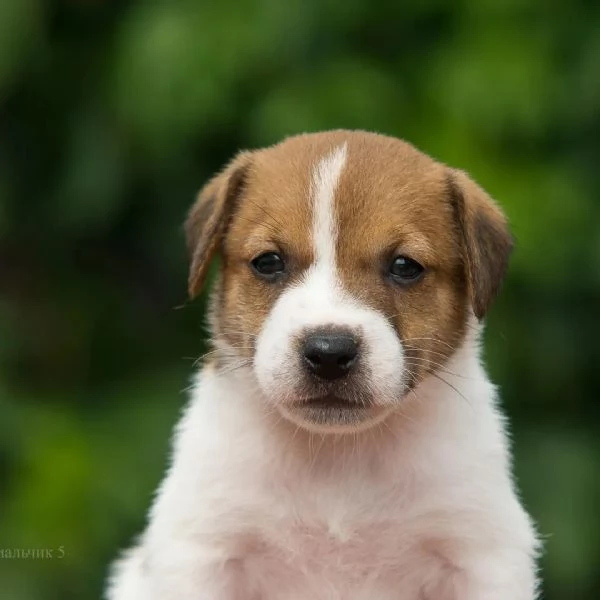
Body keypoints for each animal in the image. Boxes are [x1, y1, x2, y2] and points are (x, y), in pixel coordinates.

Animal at [106, 129, 540, 596]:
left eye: (405, 266)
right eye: (268, 262)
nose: (329, 352)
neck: (336, 454)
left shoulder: (482, 553)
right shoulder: (201, 551)